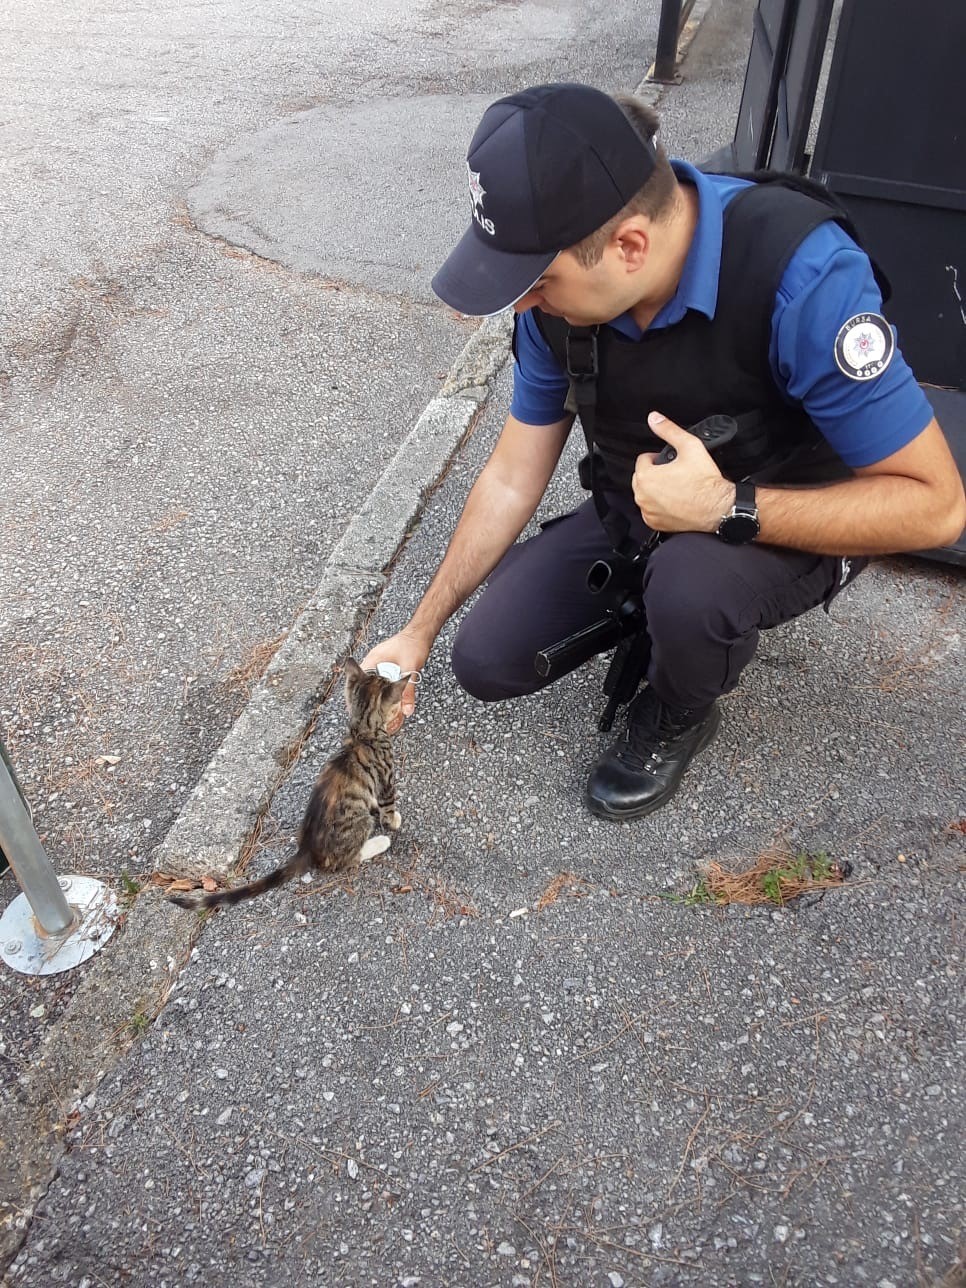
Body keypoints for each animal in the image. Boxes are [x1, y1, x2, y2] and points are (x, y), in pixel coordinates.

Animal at [168, 659, 409, 911]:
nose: (400, 704)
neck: (362, 731)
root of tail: (307, 850)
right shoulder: (385, 779)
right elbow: (387, 806)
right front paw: (393, 821)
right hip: (359, 824)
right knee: (344, 860)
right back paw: (379, 842)